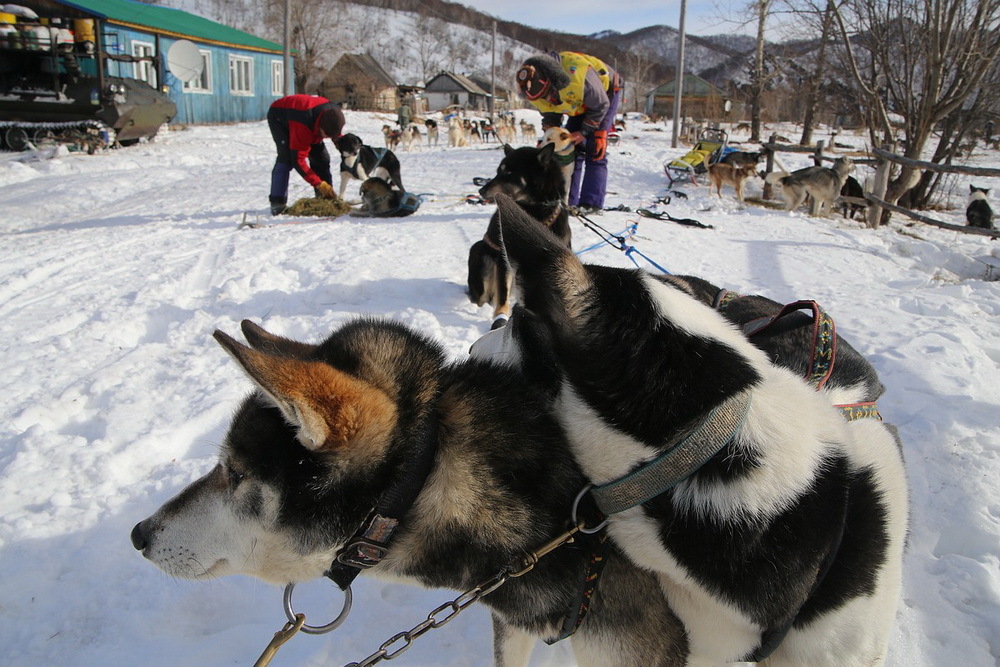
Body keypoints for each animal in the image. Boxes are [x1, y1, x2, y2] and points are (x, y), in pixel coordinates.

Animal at [468, 144, 572, 328]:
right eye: (498, 171)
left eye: (509, 172)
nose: (481, 190)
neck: (535, 212)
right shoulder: (503, 260)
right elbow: (503, 295)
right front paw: (500, 317)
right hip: (479, 251)